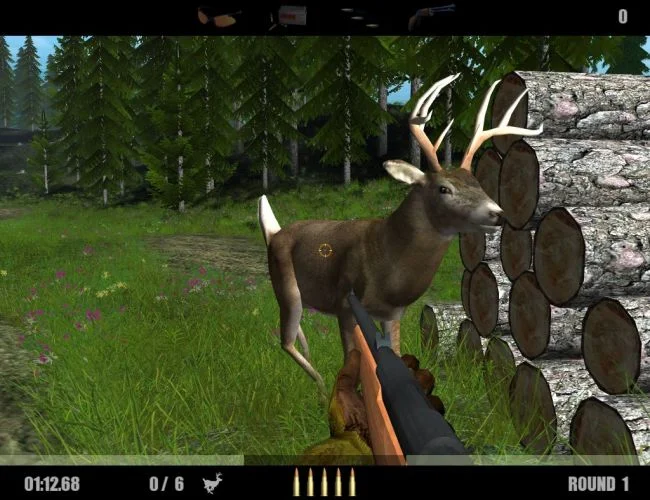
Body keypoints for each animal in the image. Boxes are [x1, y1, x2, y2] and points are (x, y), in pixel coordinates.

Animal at [258, 73, 543, 394]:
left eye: (479, 185)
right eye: (444, 189)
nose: (498, 213)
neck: (386, 262)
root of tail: (274, 233)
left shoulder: (393, 313)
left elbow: (391, 351)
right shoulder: (345, 304)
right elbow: (351, 358)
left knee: (297, 334)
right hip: (285, 284)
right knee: (286, 340)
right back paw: (319, 387)